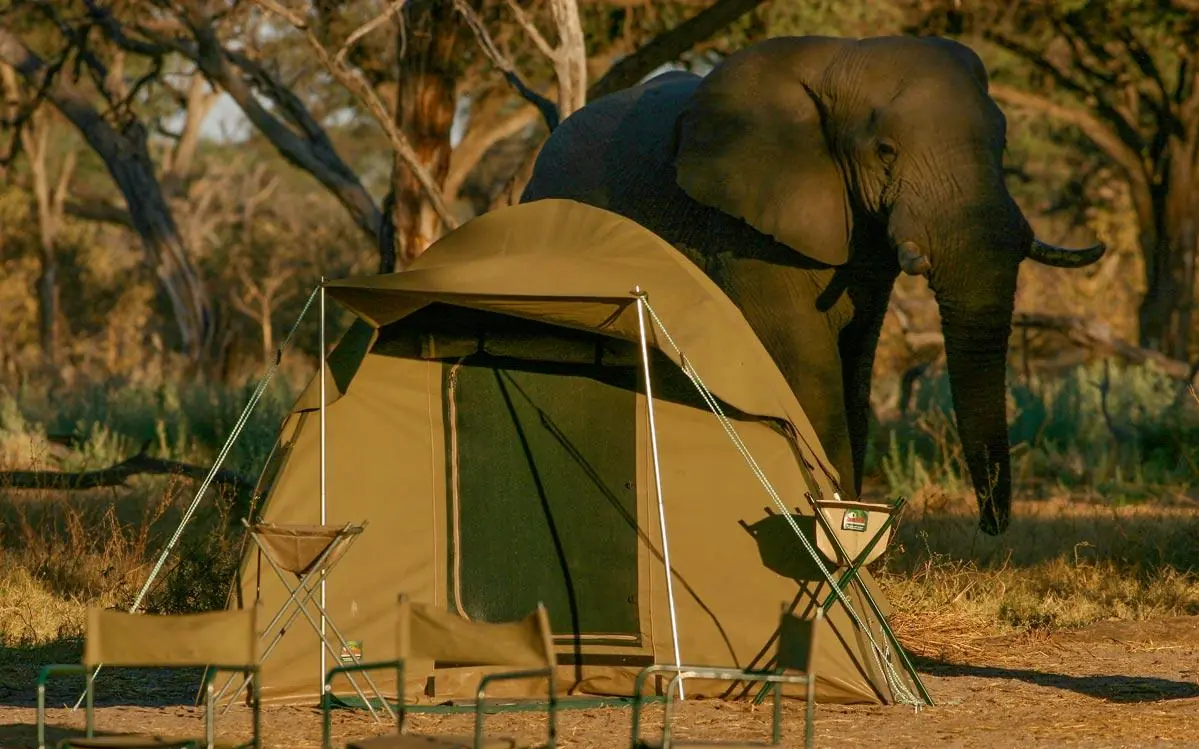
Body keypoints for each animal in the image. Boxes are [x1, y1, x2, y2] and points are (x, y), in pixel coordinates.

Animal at [519, 35, 1106, 535]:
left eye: (1003, 142)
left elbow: (855, 367)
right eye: (886, 150)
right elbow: (810, 371)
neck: (839, 60)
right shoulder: (744, 233)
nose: (991, 524)